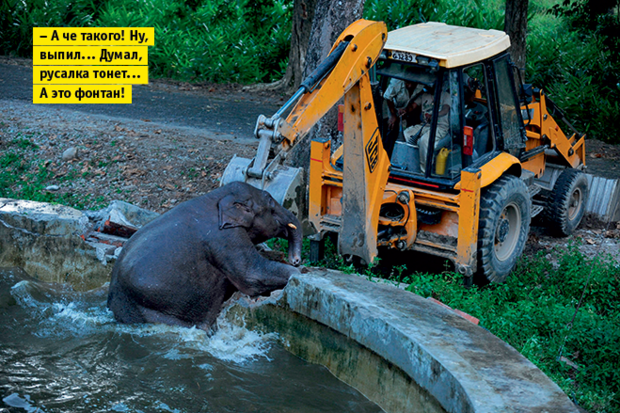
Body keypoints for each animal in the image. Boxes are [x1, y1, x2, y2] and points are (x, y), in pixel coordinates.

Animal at [107, 182, 306, 330]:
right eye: (270, 201)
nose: (296, 260)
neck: (217, 195)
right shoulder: (224, 238)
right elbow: (251, 276)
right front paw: (296, 275)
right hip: (151, 309)